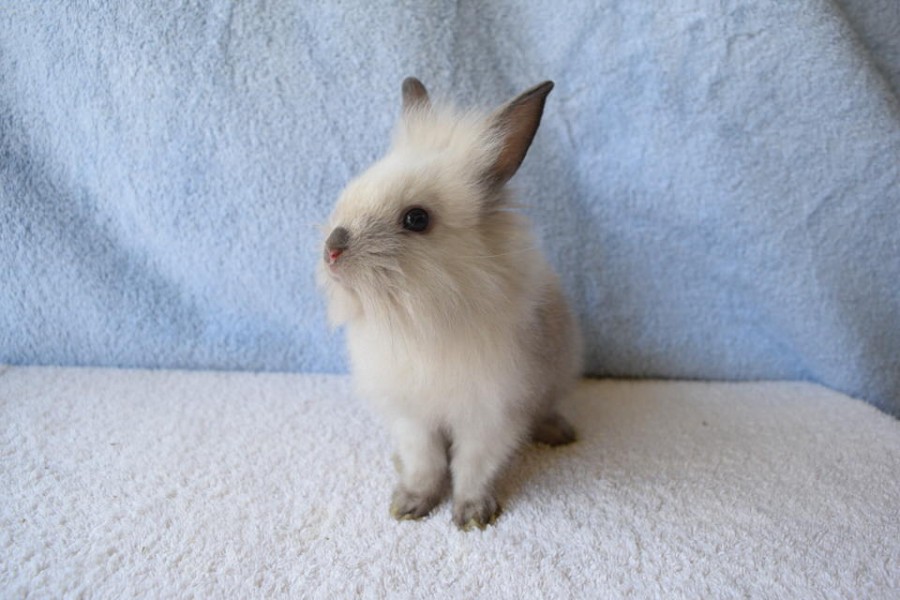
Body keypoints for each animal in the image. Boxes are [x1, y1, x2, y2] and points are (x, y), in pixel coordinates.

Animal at [318, 77, 582, 530]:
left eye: (416, 219)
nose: (332, 249)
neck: (418, 319)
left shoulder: (490, 416)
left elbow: (472, 466)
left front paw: (472, 515)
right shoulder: (412, 417)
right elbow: (426, 463)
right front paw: (409, 505)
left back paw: (557, 432)